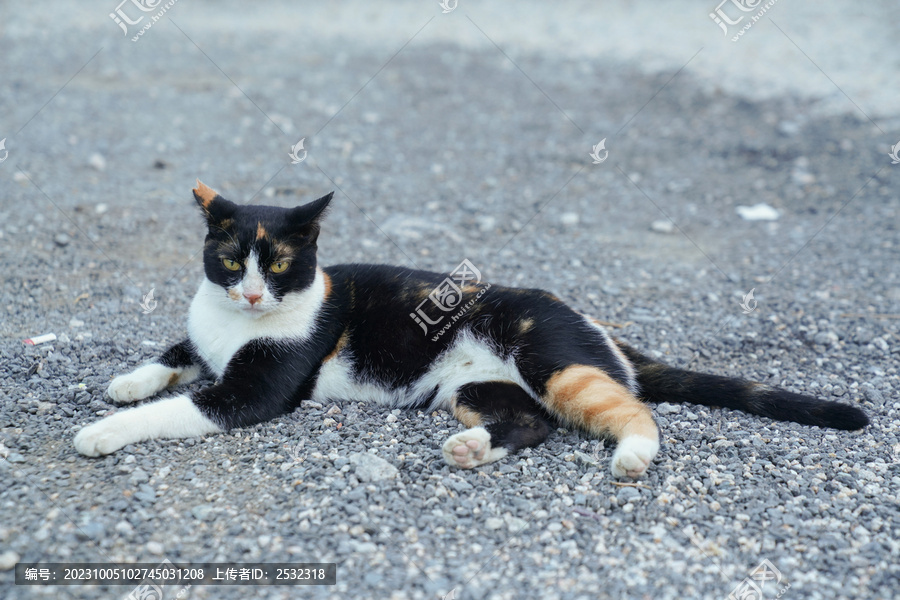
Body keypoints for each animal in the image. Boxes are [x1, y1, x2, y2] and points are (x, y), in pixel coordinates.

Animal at [74, 182, 868, 478]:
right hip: (473, 387)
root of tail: (596, 324)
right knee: (532, 422)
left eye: (280, 264)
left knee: (630, 411)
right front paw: (127, 380)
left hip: (552, 359)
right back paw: (470, 447)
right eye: (232, 258)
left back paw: (633, 455)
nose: (249, 292)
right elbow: (174, 354)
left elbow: (182, 406)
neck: (233, 325)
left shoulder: (255, 389)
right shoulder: (203, 339)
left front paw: (104, 432)